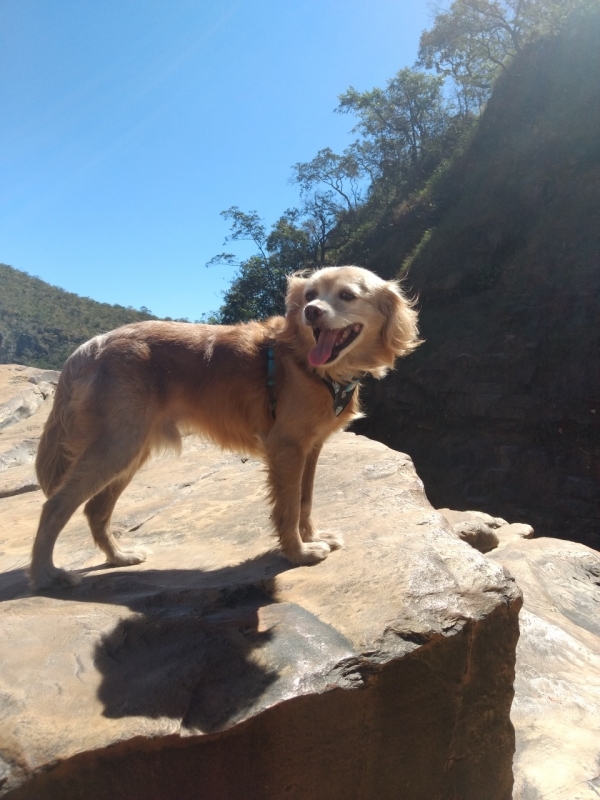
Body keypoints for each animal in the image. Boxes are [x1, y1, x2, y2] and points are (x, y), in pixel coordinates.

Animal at [29, 266, 422, 592]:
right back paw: (46, 574)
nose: (312, 311)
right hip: (117, 445)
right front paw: (298, 553)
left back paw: (118, 557)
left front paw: (312, 537)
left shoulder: (311, 447)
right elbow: (289, 507)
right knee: (55, 505)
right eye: (310, 295)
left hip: (131, 449)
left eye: (347, 295)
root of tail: (90, 346)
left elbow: (306, 500)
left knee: (96, 509)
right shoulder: (286, 447)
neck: (311, 367)